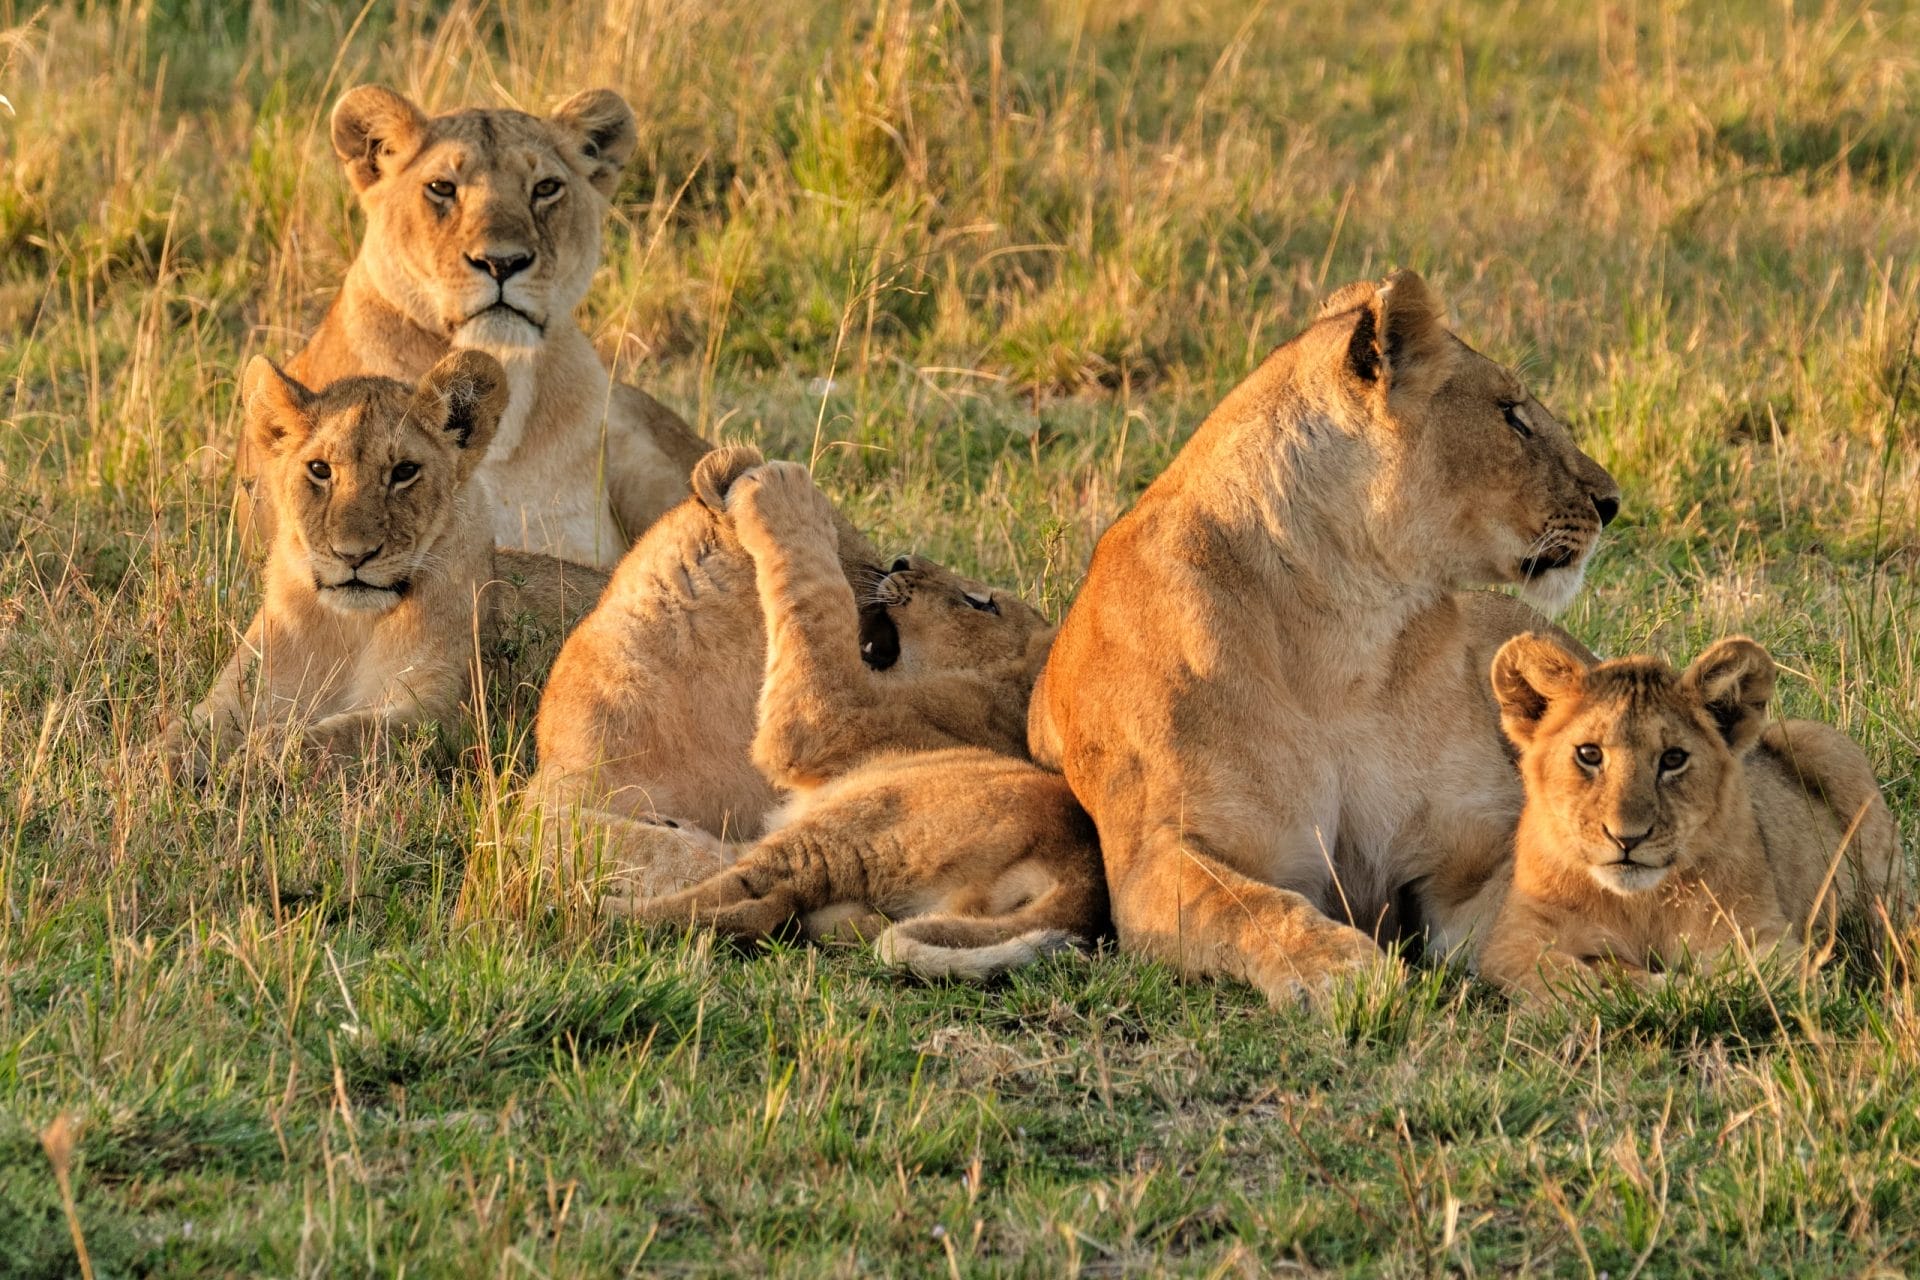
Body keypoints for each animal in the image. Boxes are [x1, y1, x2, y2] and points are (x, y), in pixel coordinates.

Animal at [166, 350, 606, 777]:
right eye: (320, 469)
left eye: (404, 471)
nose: (354, 555)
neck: (349, 630)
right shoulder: (237, 694)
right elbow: (180, 732)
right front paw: (158, 773)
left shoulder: (447, 718)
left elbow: (345, 735)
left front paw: (260, 755)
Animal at [621, 460, 1108, 978]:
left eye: (981, 602)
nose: (900, 562)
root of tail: (1080, 884)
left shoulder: (826, 714)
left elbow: (816, 599)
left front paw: (782, 492)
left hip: (859, 822)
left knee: (745, 897)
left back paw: (600, 912)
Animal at [1030, 268, 1622, 1004]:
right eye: (1511, 412)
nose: (1612, 502)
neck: (1344, 633)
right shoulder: (1154, 862)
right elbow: (1251, 905)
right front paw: (1341, 969)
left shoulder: (1467, 856)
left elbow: (1532, 900)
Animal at [1476, 633, 1907, 998]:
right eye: (1589, 754)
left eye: (1673, 759)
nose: (1627, 839)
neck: (1639, 904)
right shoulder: (1511, 939)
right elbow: (1556, 975)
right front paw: (1609, 988)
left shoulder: (1766, 937)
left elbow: (1753, 979)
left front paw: (1667, 987)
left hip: (1824, 746)